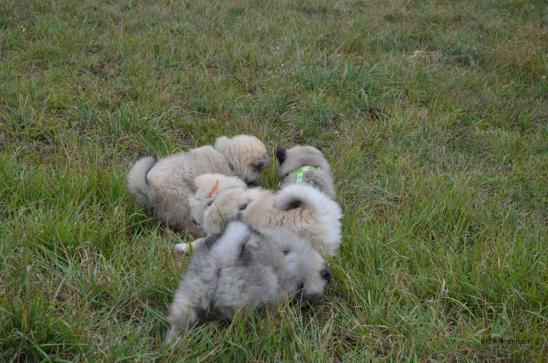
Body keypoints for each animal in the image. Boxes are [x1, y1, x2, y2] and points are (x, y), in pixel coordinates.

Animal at [126, 135, 268, 232]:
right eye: (260, 170)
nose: (262, 182)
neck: (227, 158)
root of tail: (149, 187)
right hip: (182, 203)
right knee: (186, 226)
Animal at [165, 220, 330, 342]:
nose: (327, 273)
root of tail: (224, 256)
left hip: (188, 295)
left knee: (179, 321)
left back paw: (172, 343)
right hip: (239, 303)